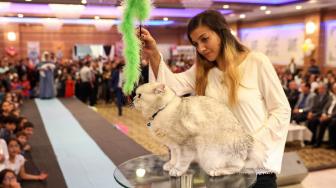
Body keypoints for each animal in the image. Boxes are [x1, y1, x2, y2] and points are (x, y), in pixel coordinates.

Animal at [133, 82, 266, 176]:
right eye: (136, 94)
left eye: (139, 95)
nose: (133, 98)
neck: (162, 110)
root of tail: (247, 141)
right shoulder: (174, 146)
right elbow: (174, 157)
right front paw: (171, 165)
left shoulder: (186, 144)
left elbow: (182, 161)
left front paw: (177, 170)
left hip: (214, 155)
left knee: (239, 167)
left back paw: (217, 171)